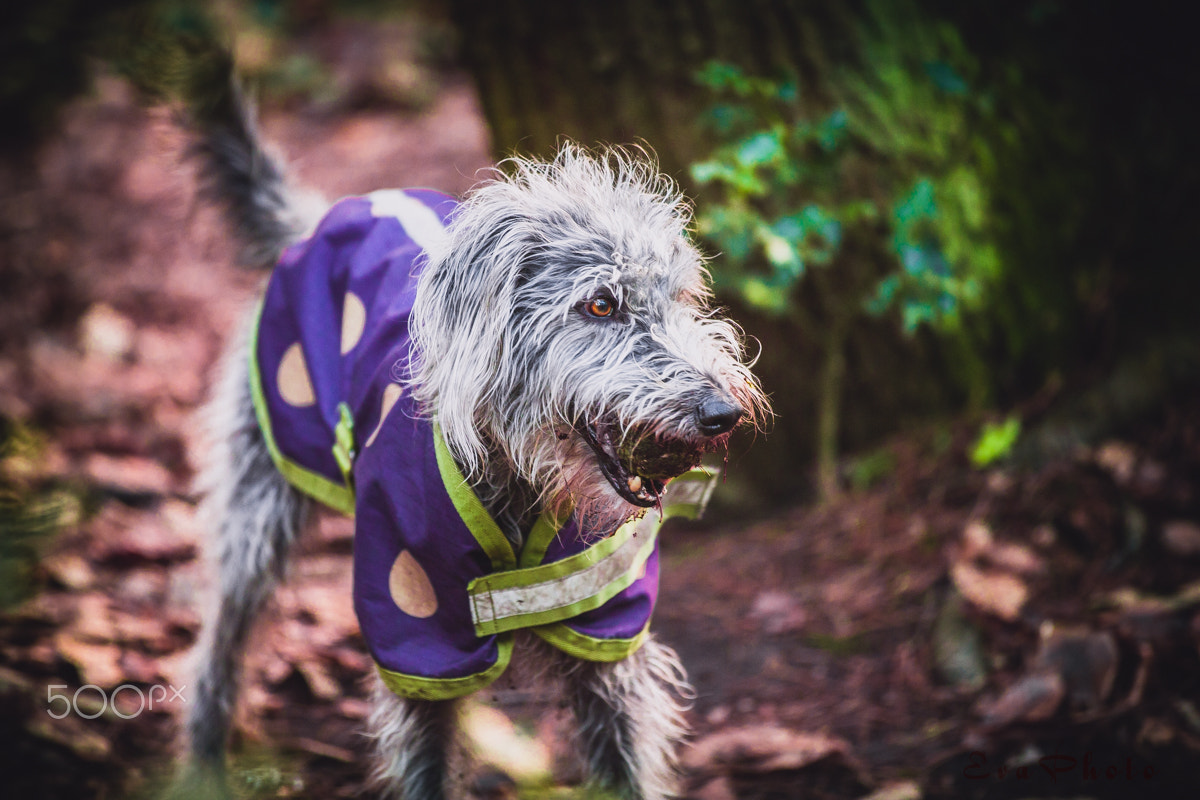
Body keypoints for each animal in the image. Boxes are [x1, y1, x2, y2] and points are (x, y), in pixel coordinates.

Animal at [180, 51, 768, 800]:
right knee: (219, 644)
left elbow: (626, 763)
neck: (522, 483)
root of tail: (323, 218)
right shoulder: (415, 633)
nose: (722, 412)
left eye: (682, 298)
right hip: (259, 501)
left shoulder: (607, 628)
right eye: (600, 304)